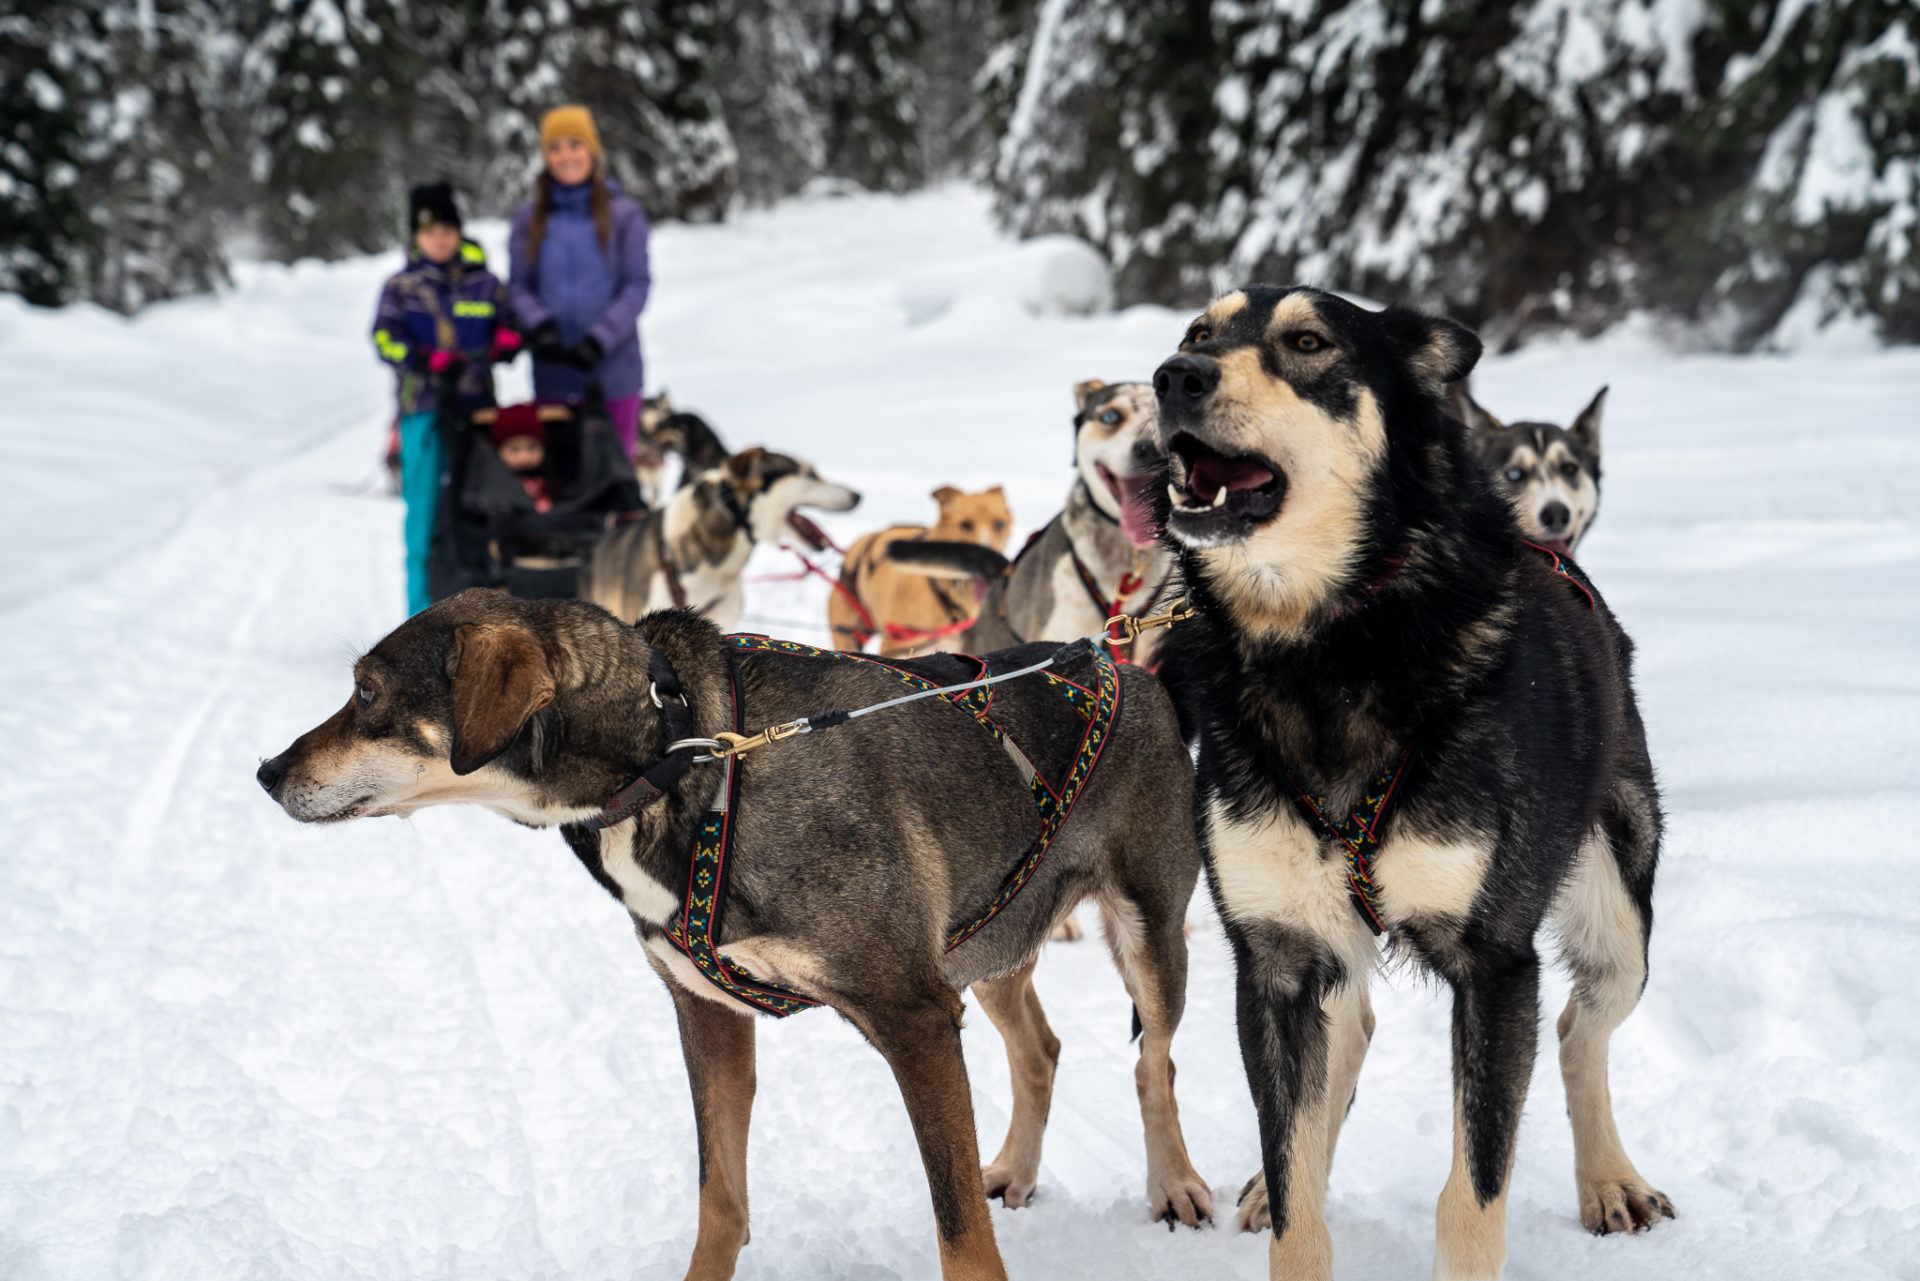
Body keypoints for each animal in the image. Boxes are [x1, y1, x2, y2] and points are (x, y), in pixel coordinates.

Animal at [255, 595, 1213, 1281]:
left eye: (366, 692)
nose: (266, 770)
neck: (680, 753)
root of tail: (1126, 663)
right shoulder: (709, 1012)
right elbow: (721, 1199)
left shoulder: (913, 1014)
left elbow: (958, 1231)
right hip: (984, 942)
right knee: (1040, 1046)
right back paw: (1013, 1165)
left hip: (1144, 935)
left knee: (1156, 1061)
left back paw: (1175, 1185)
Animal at [1144, 286, 1674, 1275]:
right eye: (1198, 331)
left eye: (1307, 341)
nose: (1173, 375)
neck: (1327, 649)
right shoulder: (1274, 961)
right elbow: (1297, 1196)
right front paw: (1283, 1192)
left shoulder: (1495, 967)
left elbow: (1473, 1191)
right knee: (1347, 1041)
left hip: (1619, 914)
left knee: (1580, 1030)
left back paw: (1610, 1180)